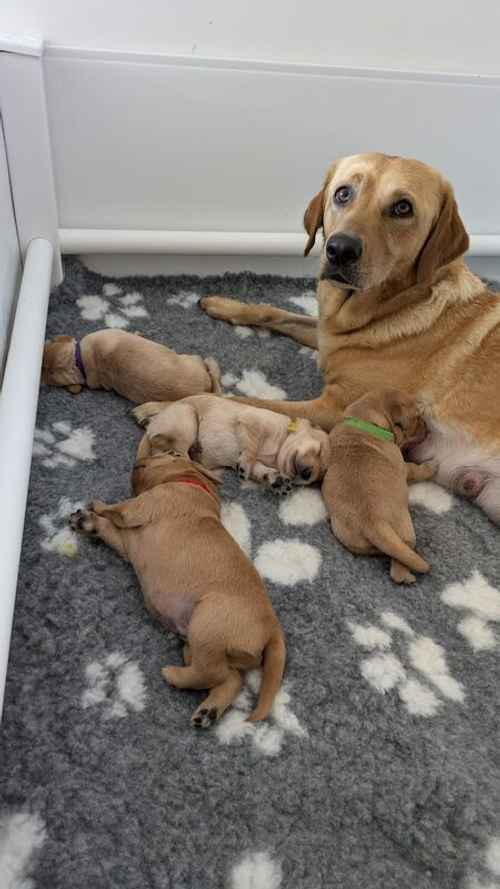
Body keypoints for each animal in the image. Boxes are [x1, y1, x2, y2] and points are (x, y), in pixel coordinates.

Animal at [132, 396, 332, 490]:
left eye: (316, 479)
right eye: (319, 451)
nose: (308, 475)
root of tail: (152, 427)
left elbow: (260, 469)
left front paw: (277, 480)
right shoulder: (252, 421)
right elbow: (251, 450)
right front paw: (245, 465)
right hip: (188, 417)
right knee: (174, 451)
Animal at [199, 154, 500, 520]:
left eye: (402, 207)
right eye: (343, 193)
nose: (340, 249)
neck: (388, 307)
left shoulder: (335, 408)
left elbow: (249, 402)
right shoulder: (326, 336)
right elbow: (274, 312)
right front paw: (222, 304)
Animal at [322, 388, 436, 584]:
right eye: (416, 418)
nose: (427, 427)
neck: (365, 422)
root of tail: (373, 522)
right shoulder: (403, 466)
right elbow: (416, 470)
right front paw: (431, 467)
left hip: (348, 535)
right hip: (405, 531)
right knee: (400, 561)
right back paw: (407, 576)